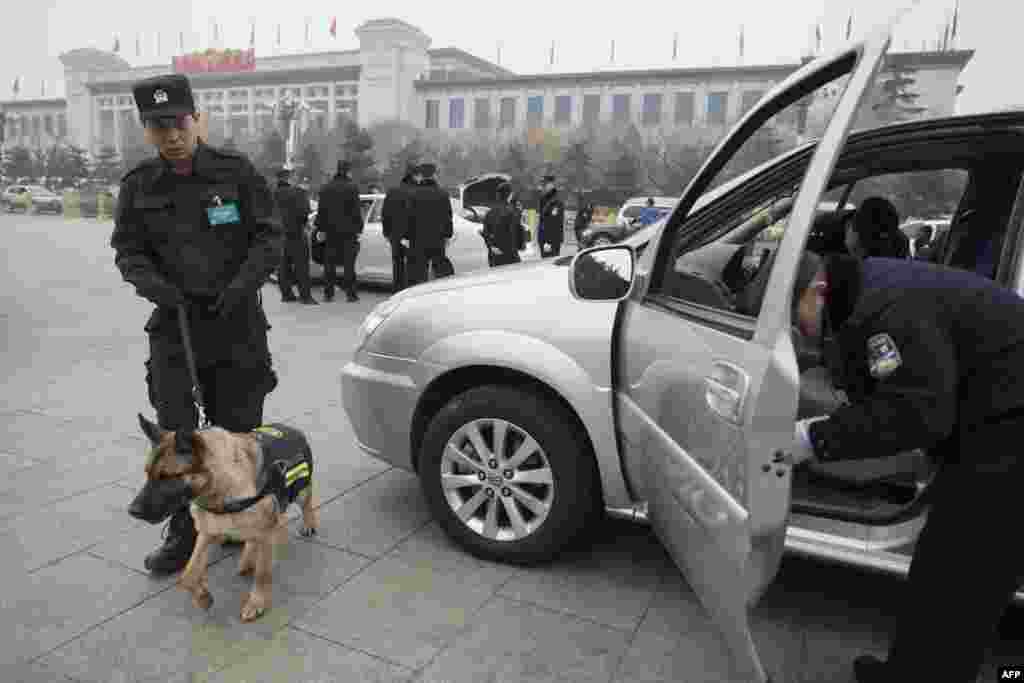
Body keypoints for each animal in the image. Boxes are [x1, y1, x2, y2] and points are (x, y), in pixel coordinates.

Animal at [130, 413, 317, 622]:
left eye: (167, 476)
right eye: (148, 474)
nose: (132, 511)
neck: (218, 488)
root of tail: (293, 429)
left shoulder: (266, 532)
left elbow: (262, 573)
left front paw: (256, 603)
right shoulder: (207, 533)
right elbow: (188, 574)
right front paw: (203, 598)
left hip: (299, 491)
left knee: (307, 501)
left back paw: (308, 524)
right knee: (251, 538)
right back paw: (247, 559)